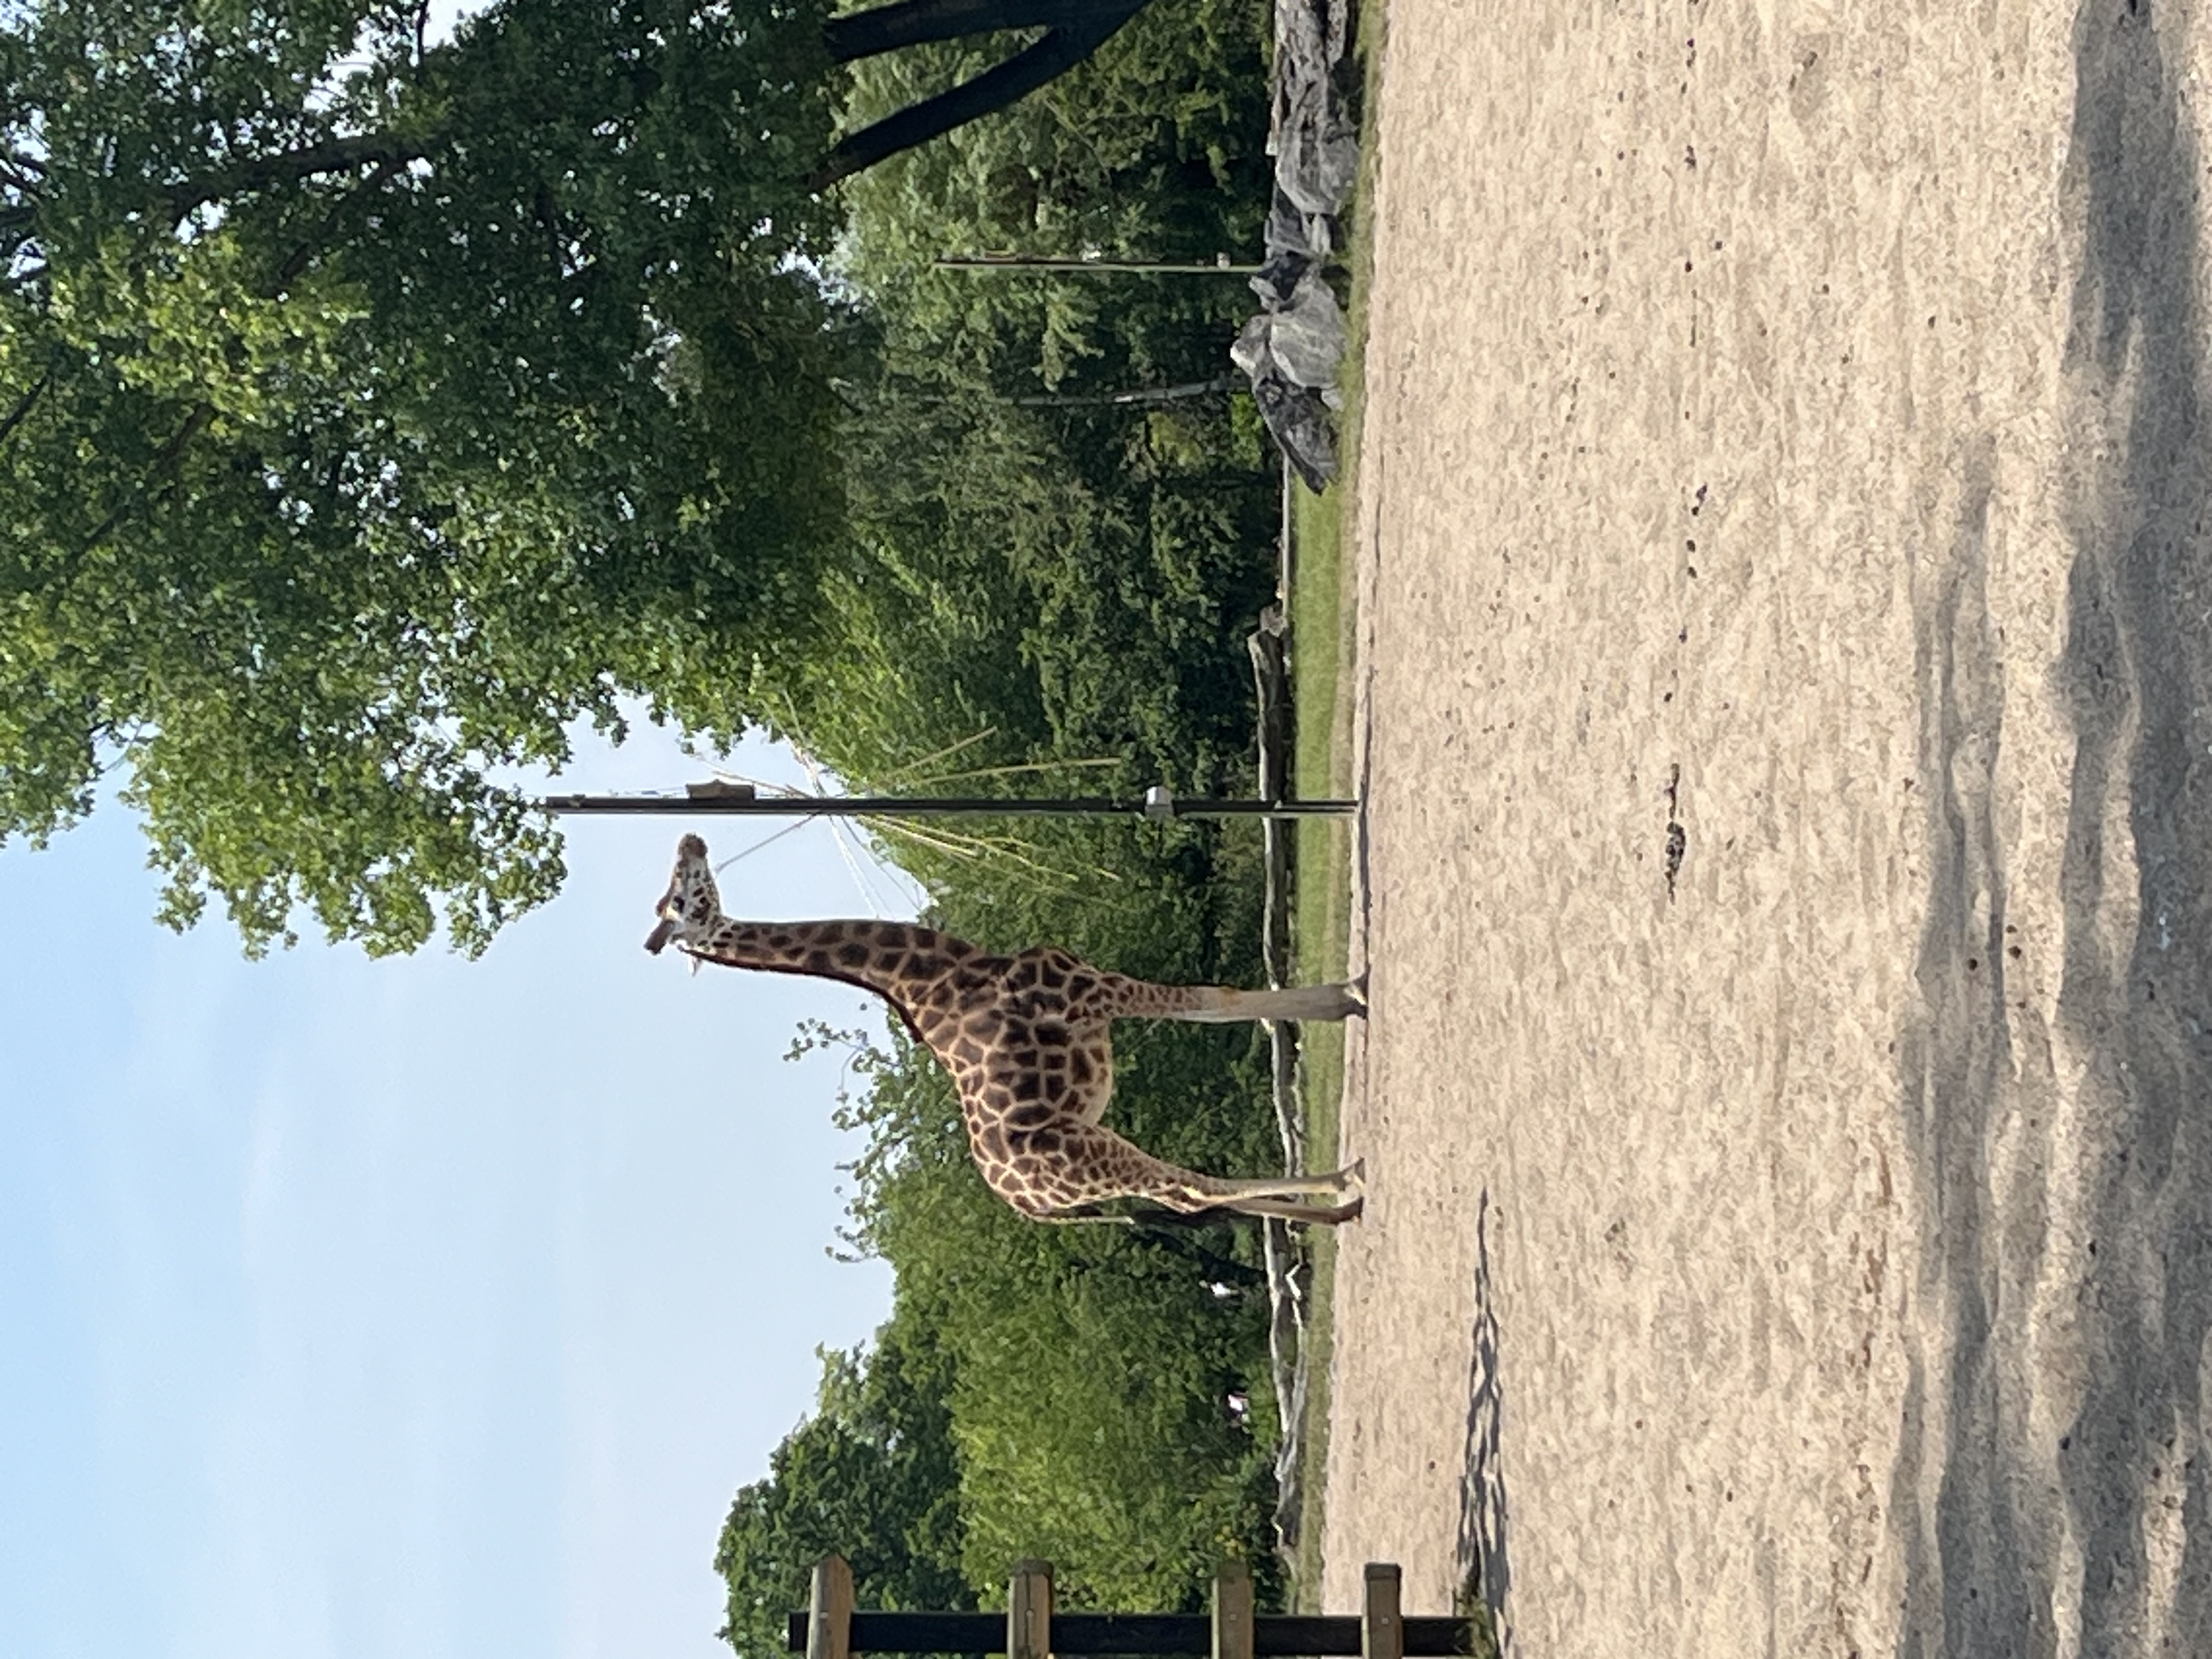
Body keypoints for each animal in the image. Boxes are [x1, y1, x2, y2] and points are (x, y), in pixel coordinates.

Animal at [646, 834, 1368, 1224]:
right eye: (680, 900)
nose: (690, 841)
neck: (945, 970)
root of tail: (1027, 1204)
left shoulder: (1094, 995)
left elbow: (1223, 999)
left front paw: (1347, 995)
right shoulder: (1090, 995)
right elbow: (1216, 999)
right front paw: (1352, 994)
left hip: (1094, 1152)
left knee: (1184, 1196)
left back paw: (1331, 1212)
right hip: (1089, 1156)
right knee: (1188, 1189)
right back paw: (1344, 1183)